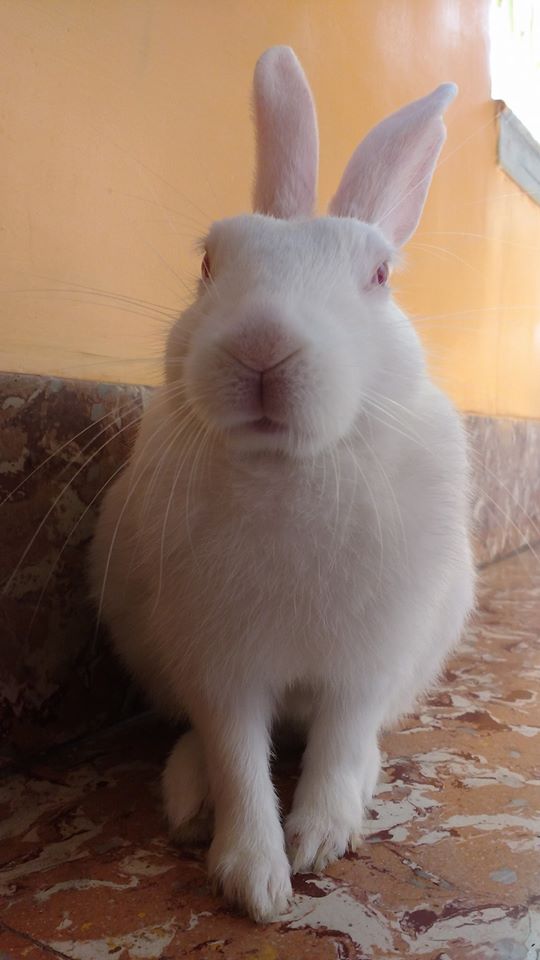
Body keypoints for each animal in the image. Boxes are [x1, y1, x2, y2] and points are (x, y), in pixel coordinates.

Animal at [90, 46, 475, 922]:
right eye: (208, 263)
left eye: (379, 273)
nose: (262, 346)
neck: (289, 474)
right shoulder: (218, 666)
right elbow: (238, 758)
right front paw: (256, 881)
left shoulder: (366, 663)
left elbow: (337, 742)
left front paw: (319, 839)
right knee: (200, 743)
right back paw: (189, 797)